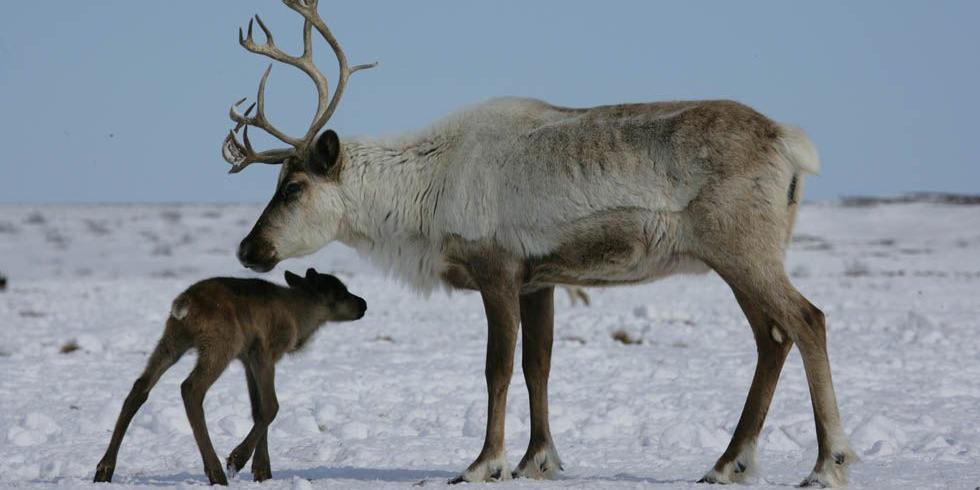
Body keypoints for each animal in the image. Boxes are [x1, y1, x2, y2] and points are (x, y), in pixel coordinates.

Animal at [94, 268, 368, 486]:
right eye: (341, 291)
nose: (363, 304)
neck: (300, 319)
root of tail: (185, 302)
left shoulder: (247, 360)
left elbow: (257, 409)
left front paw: (262, 471)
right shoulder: (264, 352)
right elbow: (271, 407)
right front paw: (238, 459)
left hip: (173, 339)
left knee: (140, 387)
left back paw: (104, 469)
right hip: (221, 343)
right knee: (190, 388)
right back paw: (216, 472)